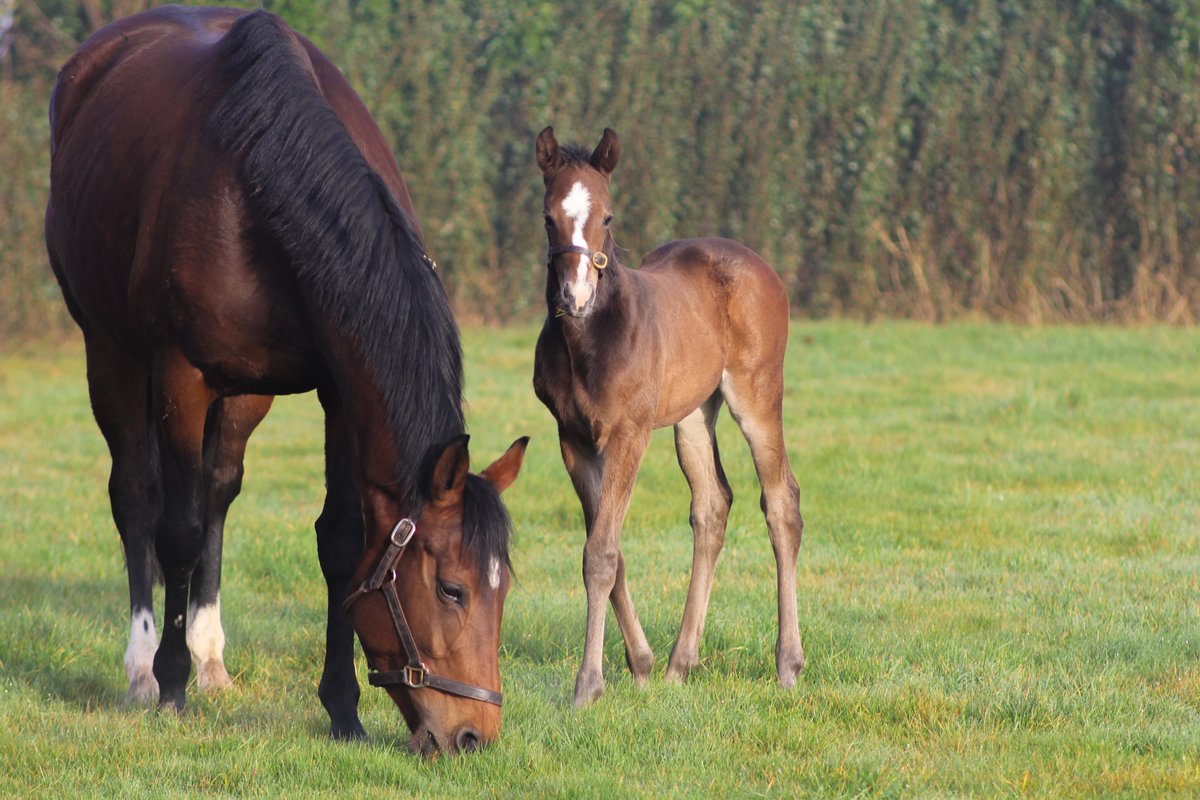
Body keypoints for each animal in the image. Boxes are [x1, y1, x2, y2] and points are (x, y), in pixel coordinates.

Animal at [45, 7, 525, 758]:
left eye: (503, 591)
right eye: (452, 589)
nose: (473, 736)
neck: (264, 178)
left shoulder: (339, 390)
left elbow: (340, 543)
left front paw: (343, 708)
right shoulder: (179, 374)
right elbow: (176, 530)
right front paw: (172, 683)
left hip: (246, 394)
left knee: (218, 491)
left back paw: (212, 659)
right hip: (112, 355)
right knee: (138, 498)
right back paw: (146, 669)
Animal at [530, 126, 801, 705]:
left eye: (608, 217)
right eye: (547, 217)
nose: (576, 295)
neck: (588, 340)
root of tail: (762, 267)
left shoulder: (628, 433)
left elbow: (601, 554)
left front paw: (587, 685)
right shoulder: (572, 438)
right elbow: (607, 550)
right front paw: (641, 663)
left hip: (757, 394)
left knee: (781, 504)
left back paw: (788, 664)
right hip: (693, 415)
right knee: (713, 505)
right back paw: (680, 663)